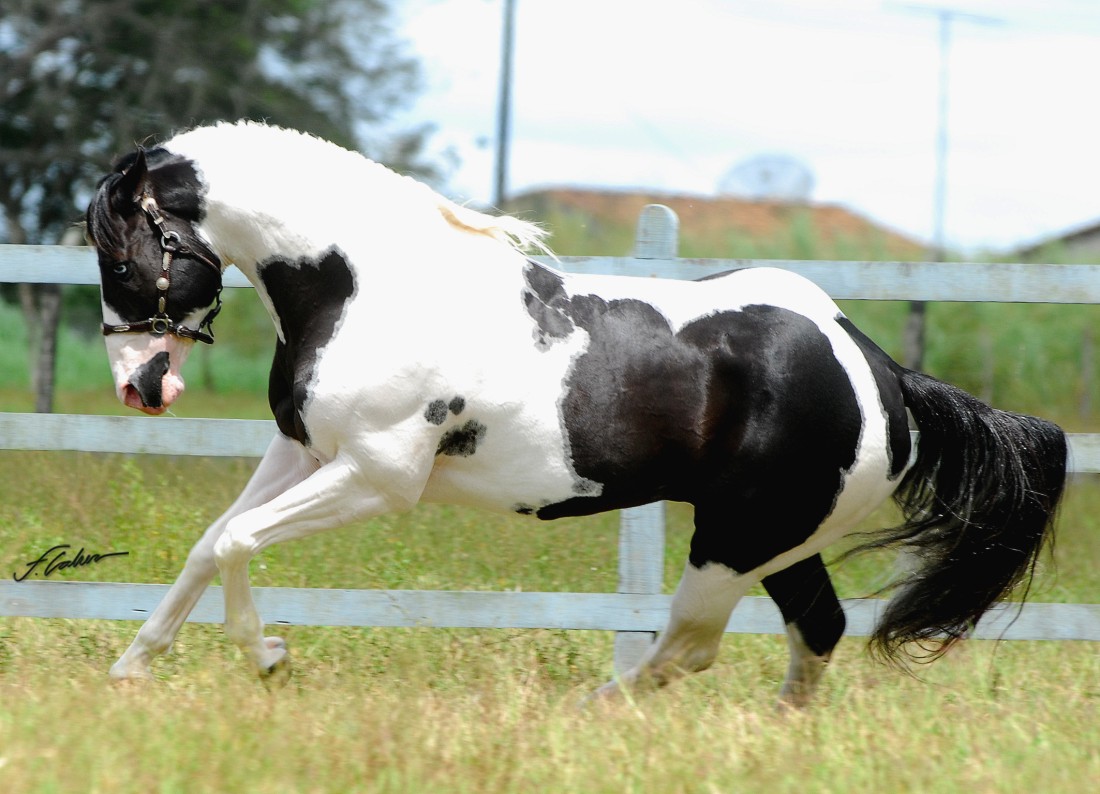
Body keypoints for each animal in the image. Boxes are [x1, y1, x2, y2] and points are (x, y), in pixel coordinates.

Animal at [84, 121, 1067, 707]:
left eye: (122, 256)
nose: (140, 387)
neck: (365, 286)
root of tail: (879, 367)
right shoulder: (301, 453)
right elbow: (211, 542)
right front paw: (131, 667)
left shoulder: (377, 477)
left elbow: (240, 544)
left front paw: (269, 658)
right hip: (780, 542)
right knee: (814, 628)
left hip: (733, 541)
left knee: (690, 646)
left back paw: (590, 712)